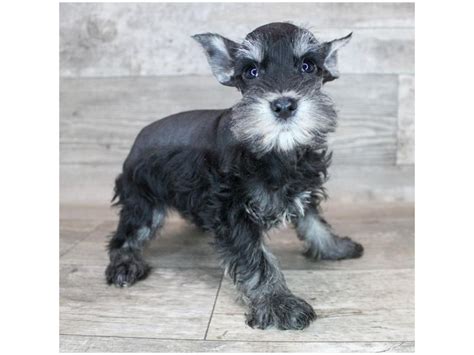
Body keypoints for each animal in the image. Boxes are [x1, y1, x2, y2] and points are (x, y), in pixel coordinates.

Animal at [104, 22, 362, 330]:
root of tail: (139, 138)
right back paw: (125, 265)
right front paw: (278, 304)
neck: (275, 151)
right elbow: (257, 260)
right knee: (125, 237)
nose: (284, 105)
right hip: (143, 201)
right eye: (251, 71)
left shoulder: (303, 187)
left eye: (308, 66)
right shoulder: (232, 212)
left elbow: (314, 221)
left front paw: (334, 246)